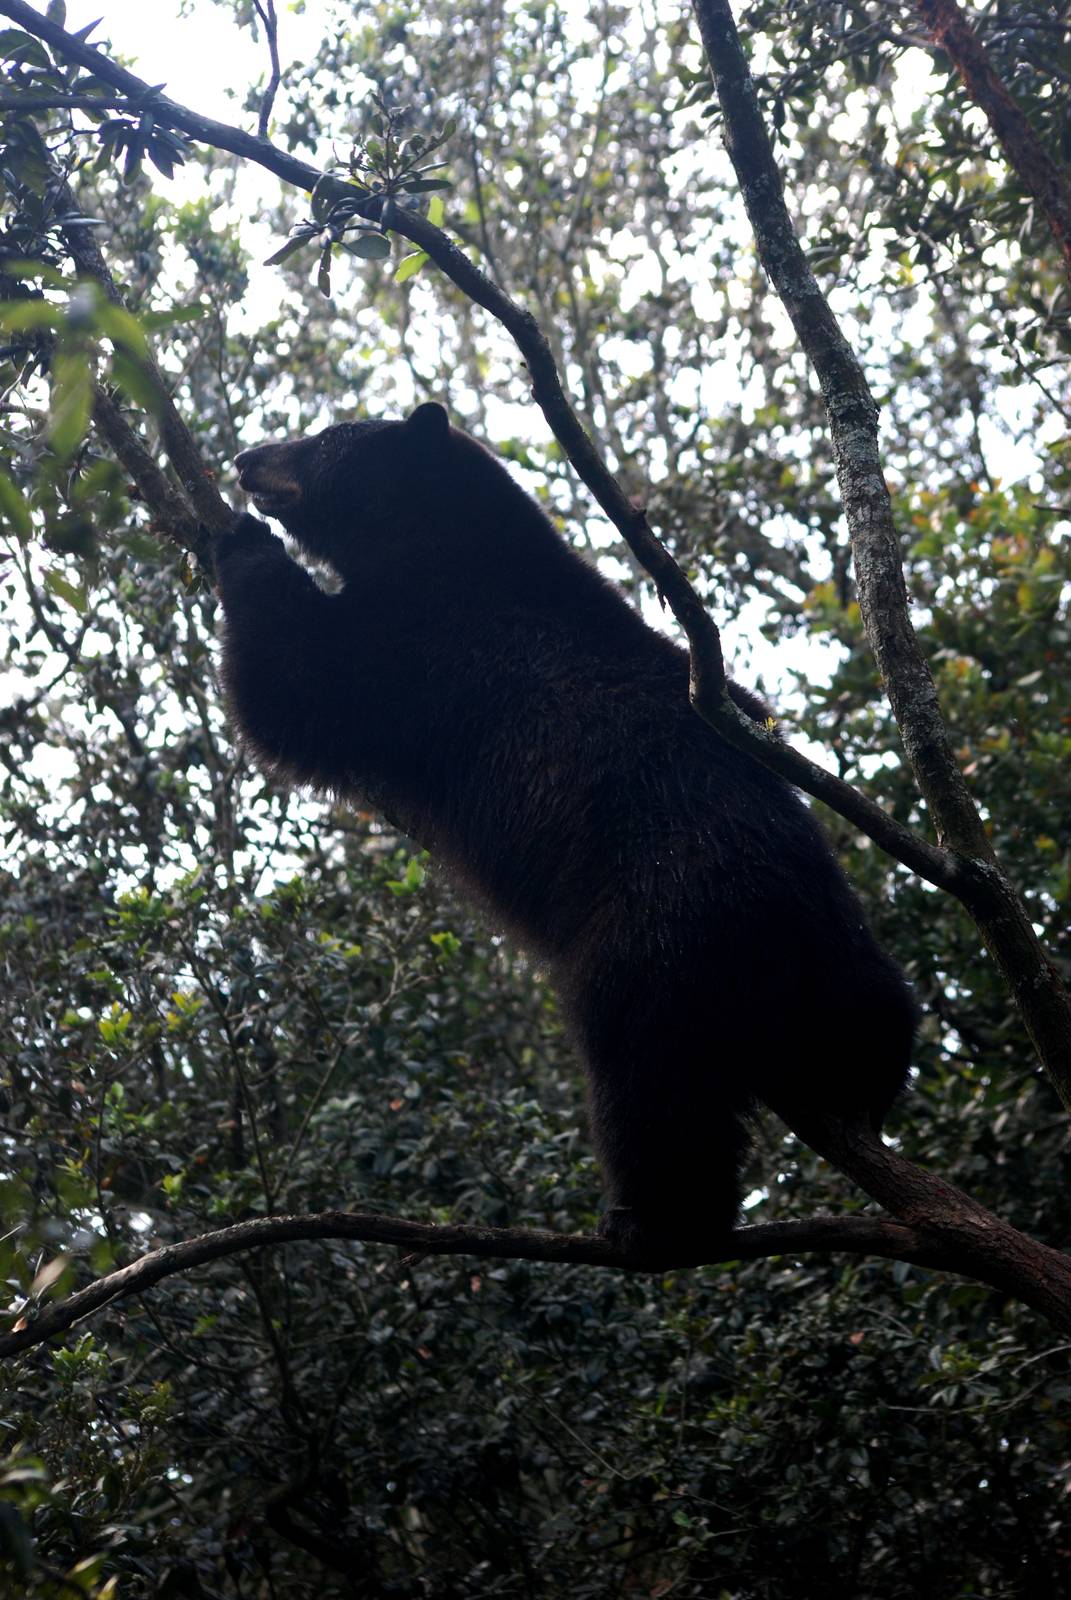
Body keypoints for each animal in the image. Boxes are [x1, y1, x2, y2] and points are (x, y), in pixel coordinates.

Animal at [213, 400, 916, 1260]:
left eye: (323, 437)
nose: (246, 456)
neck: (440, 542)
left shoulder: (429, 649)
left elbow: (298, 688)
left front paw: (243, 545)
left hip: (660, 926)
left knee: (644, 1066)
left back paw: (653, 1217)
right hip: (843, 961)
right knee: (877, 1021)